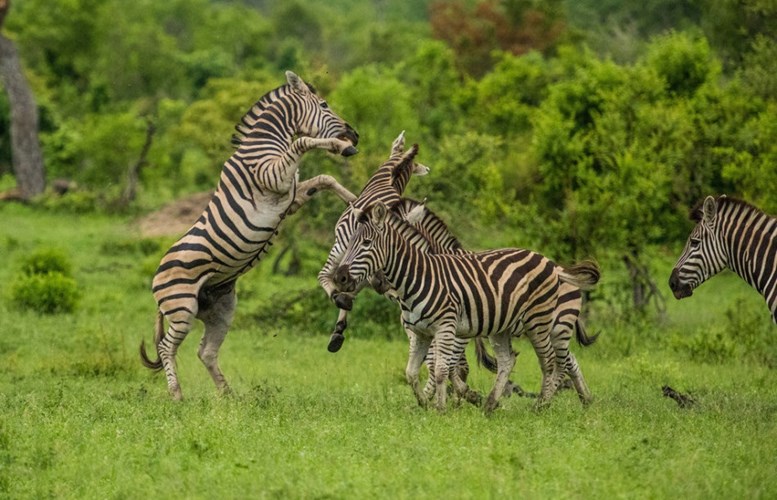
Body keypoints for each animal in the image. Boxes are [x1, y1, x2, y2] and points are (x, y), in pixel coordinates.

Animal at [142, 70, 360, 400]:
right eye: (324, 105)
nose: (355, 136)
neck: (267, 143)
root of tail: (155, 279)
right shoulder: (275, 178)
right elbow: (304, 141)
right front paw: (339, 147)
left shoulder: (289, 197)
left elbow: (325, 178)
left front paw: (358, 201)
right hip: (181, 306)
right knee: (168, 347)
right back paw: (177, 395)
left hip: (220, 308)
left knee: (205, 351)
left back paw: (228, 396)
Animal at [334, 201, 600, 412]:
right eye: (350, 243)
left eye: (366, 242)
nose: (340, 278)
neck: (419, 275)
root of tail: (552, 264)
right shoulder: (420, 332)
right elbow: (412, 372)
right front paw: (425, 403)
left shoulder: (449, 328)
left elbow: (442, 368)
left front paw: (442, 406)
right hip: (506, 328)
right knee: (519, 361)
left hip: (544, 322)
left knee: (552, 362)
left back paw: (541, 405)